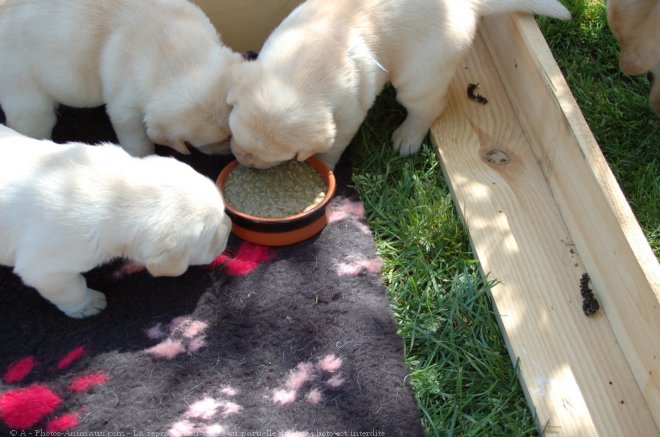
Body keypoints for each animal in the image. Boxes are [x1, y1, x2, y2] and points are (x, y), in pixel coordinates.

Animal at [0, 122, 232, 316]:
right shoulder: (47, 269)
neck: (118, 194)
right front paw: (87, 305)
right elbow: (71, 289)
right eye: (213, 235)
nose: (229, 226)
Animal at [224, 0, 568, 169]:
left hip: (418, 80)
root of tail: (468, 5)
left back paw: (408, 137)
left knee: (428, 109)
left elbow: (332, 146)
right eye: (234, 135)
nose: (241, 162)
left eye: (273, 157)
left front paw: (322, 165)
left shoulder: (349, 116)